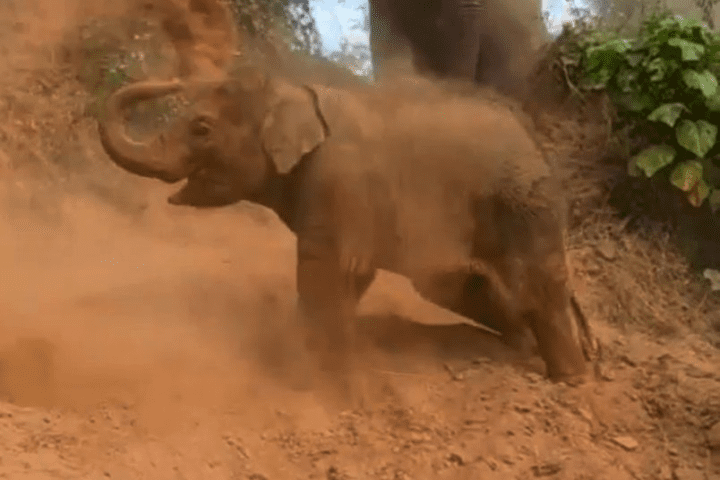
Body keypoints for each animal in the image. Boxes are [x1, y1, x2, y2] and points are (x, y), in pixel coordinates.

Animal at [95, 64, 588, 386]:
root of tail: (535, 138)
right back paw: (519, 348)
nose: (175, 78)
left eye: (201, 128)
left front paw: (309, 375)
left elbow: (324, 266)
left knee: (538, 284)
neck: (295, 91)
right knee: (465, 288)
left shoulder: (336, 182)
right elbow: (352, 276)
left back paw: (569, 379)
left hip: (525, 206)